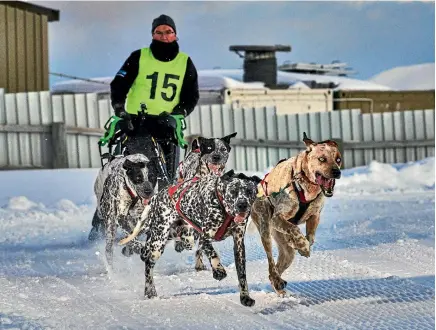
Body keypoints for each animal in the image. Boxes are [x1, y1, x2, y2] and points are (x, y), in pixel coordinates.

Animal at [250, 131, 342, 296]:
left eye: (338, 159)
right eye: (322, 159)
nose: (337, 172)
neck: (306, 186)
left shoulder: (315, 216)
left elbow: (310, 237)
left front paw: (301, 244)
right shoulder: (277, 218)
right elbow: (294, 228)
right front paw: (303, 246)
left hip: (286, 252)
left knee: (277, 267)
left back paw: (279, 285)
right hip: (265, 228)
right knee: (270, 262)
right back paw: (278, 280)